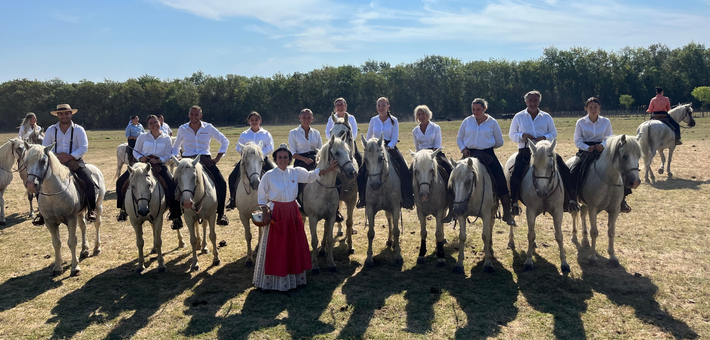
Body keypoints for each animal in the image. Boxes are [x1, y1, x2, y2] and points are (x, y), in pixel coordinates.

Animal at [24, 142, 105, 278]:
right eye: (26, 161)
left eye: (43, 161)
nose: (30, 185)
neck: (53, 195)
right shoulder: (49, 222)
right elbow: (56, 243)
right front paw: (58, 267)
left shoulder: (71, 218)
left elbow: (72, 242)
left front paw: (75, 268)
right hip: (80, 213)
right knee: (83, 227)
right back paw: (84, 250)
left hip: (98, 206)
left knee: (97, 224)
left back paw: (96, 248)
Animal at [302, 133, 358, 274]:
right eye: (337, 153)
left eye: (348, 151)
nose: (352, 172)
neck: (323, 188)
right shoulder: (313, 218)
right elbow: (314, 241)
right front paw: (315, 266)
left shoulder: (331, 217)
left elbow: (329, 239)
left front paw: (331, 263)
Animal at [358, 134, 404, 266]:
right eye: (365, 160)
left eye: (380, 158)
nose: (375, 185)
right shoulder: (370, 208)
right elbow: (370, 233)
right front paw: (369, 259)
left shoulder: (395, 207)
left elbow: (396, 231)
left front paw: (398, 256)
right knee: (389, 219)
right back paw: (389, 240)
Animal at [506, 138, 572, 274]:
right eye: (533, 167)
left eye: (551, 166)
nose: (541, 192)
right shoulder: (530, 211)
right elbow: (530, 235)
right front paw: (528, 261)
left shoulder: (558, 211)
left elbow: (559, 236)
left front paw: (564, 263)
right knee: (513, 218)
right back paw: (511, 241)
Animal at [572, 135, 644, 266]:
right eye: (624, 156)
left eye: (639, 156)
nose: (636, 182)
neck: (609, 180)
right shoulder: (593, 208)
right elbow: (594, 232)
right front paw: (592, 257)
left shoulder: (614, 209)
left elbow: (611, 232)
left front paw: (613, 257)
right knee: (575, 214)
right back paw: (574, 236)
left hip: (585, 205)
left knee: (583, 214)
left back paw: (584, 240)